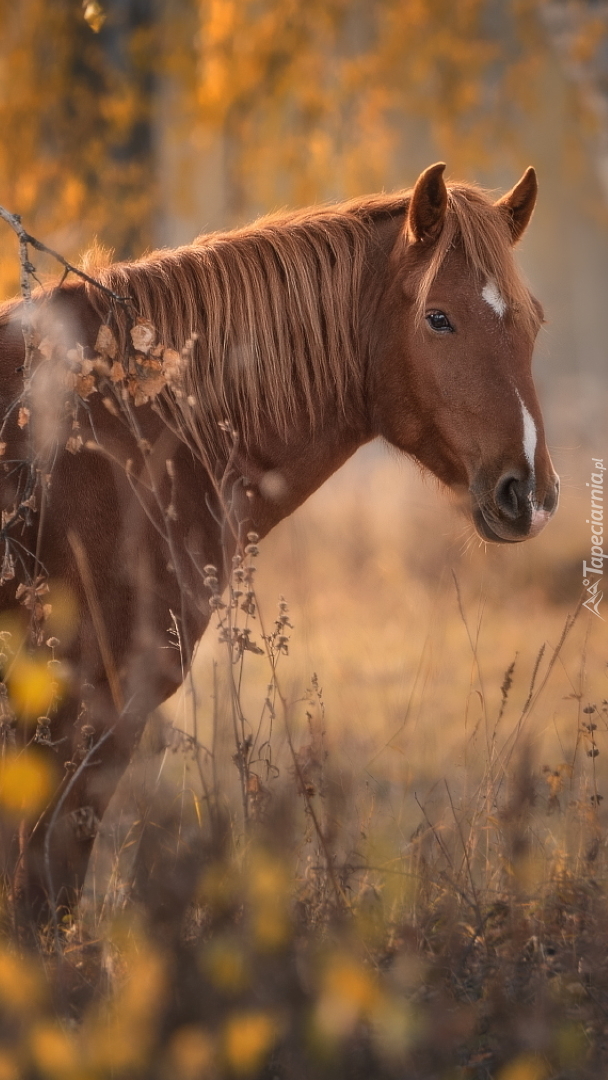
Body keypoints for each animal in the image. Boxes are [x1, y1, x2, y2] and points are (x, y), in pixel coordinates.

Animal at [0, 162, 557, 928]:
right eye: (438, 317)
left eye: (532, 321)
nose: (527, 493)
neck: (133, 428)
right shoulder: (86, 706)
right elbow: (42, 893)